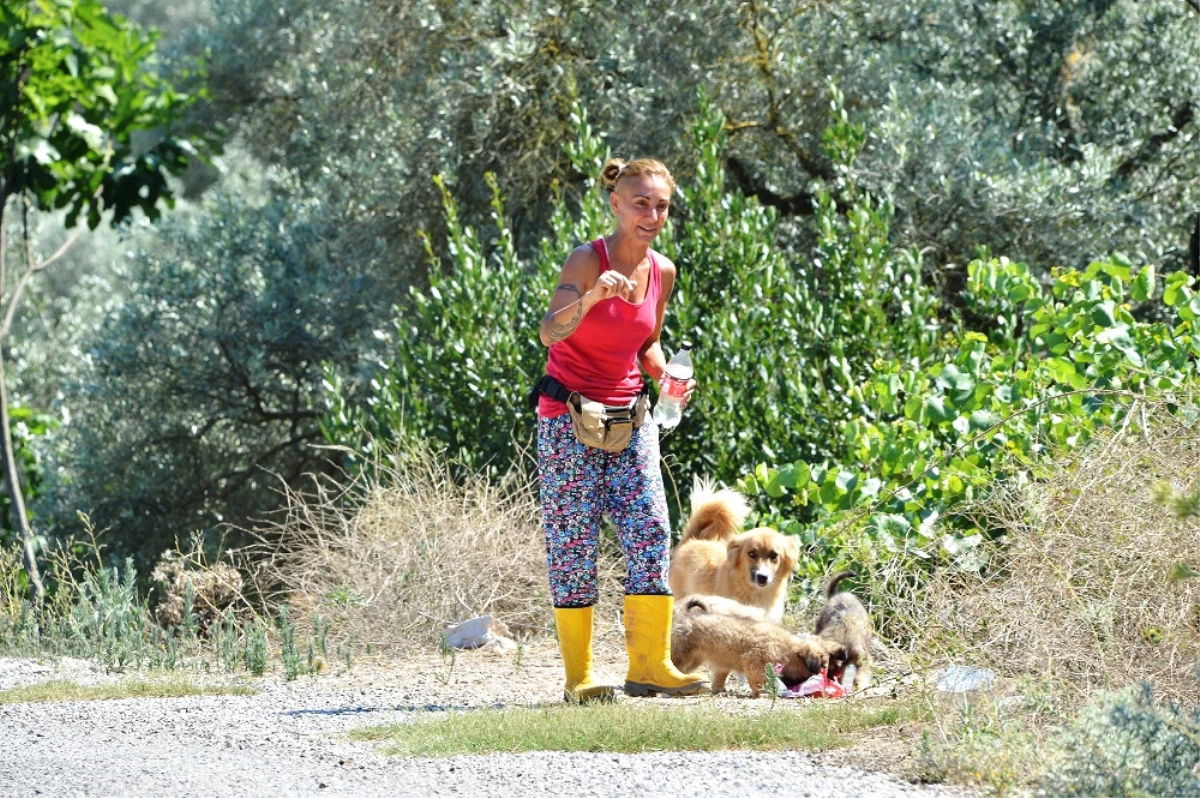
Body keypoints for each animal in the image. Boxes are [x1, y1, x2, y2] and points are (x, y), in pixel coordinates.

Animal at [667, 595, 844, 696]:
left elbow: (720, 677)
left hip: (692, 659)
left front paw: (719, 690)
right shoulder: (754, 661)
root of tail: (683, 616)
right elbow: (757, 679)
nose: (828, 678)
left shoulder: (724, 665)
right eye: (820, 668)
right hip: (680, 655)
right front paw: (762, 693)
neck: (788, 649)